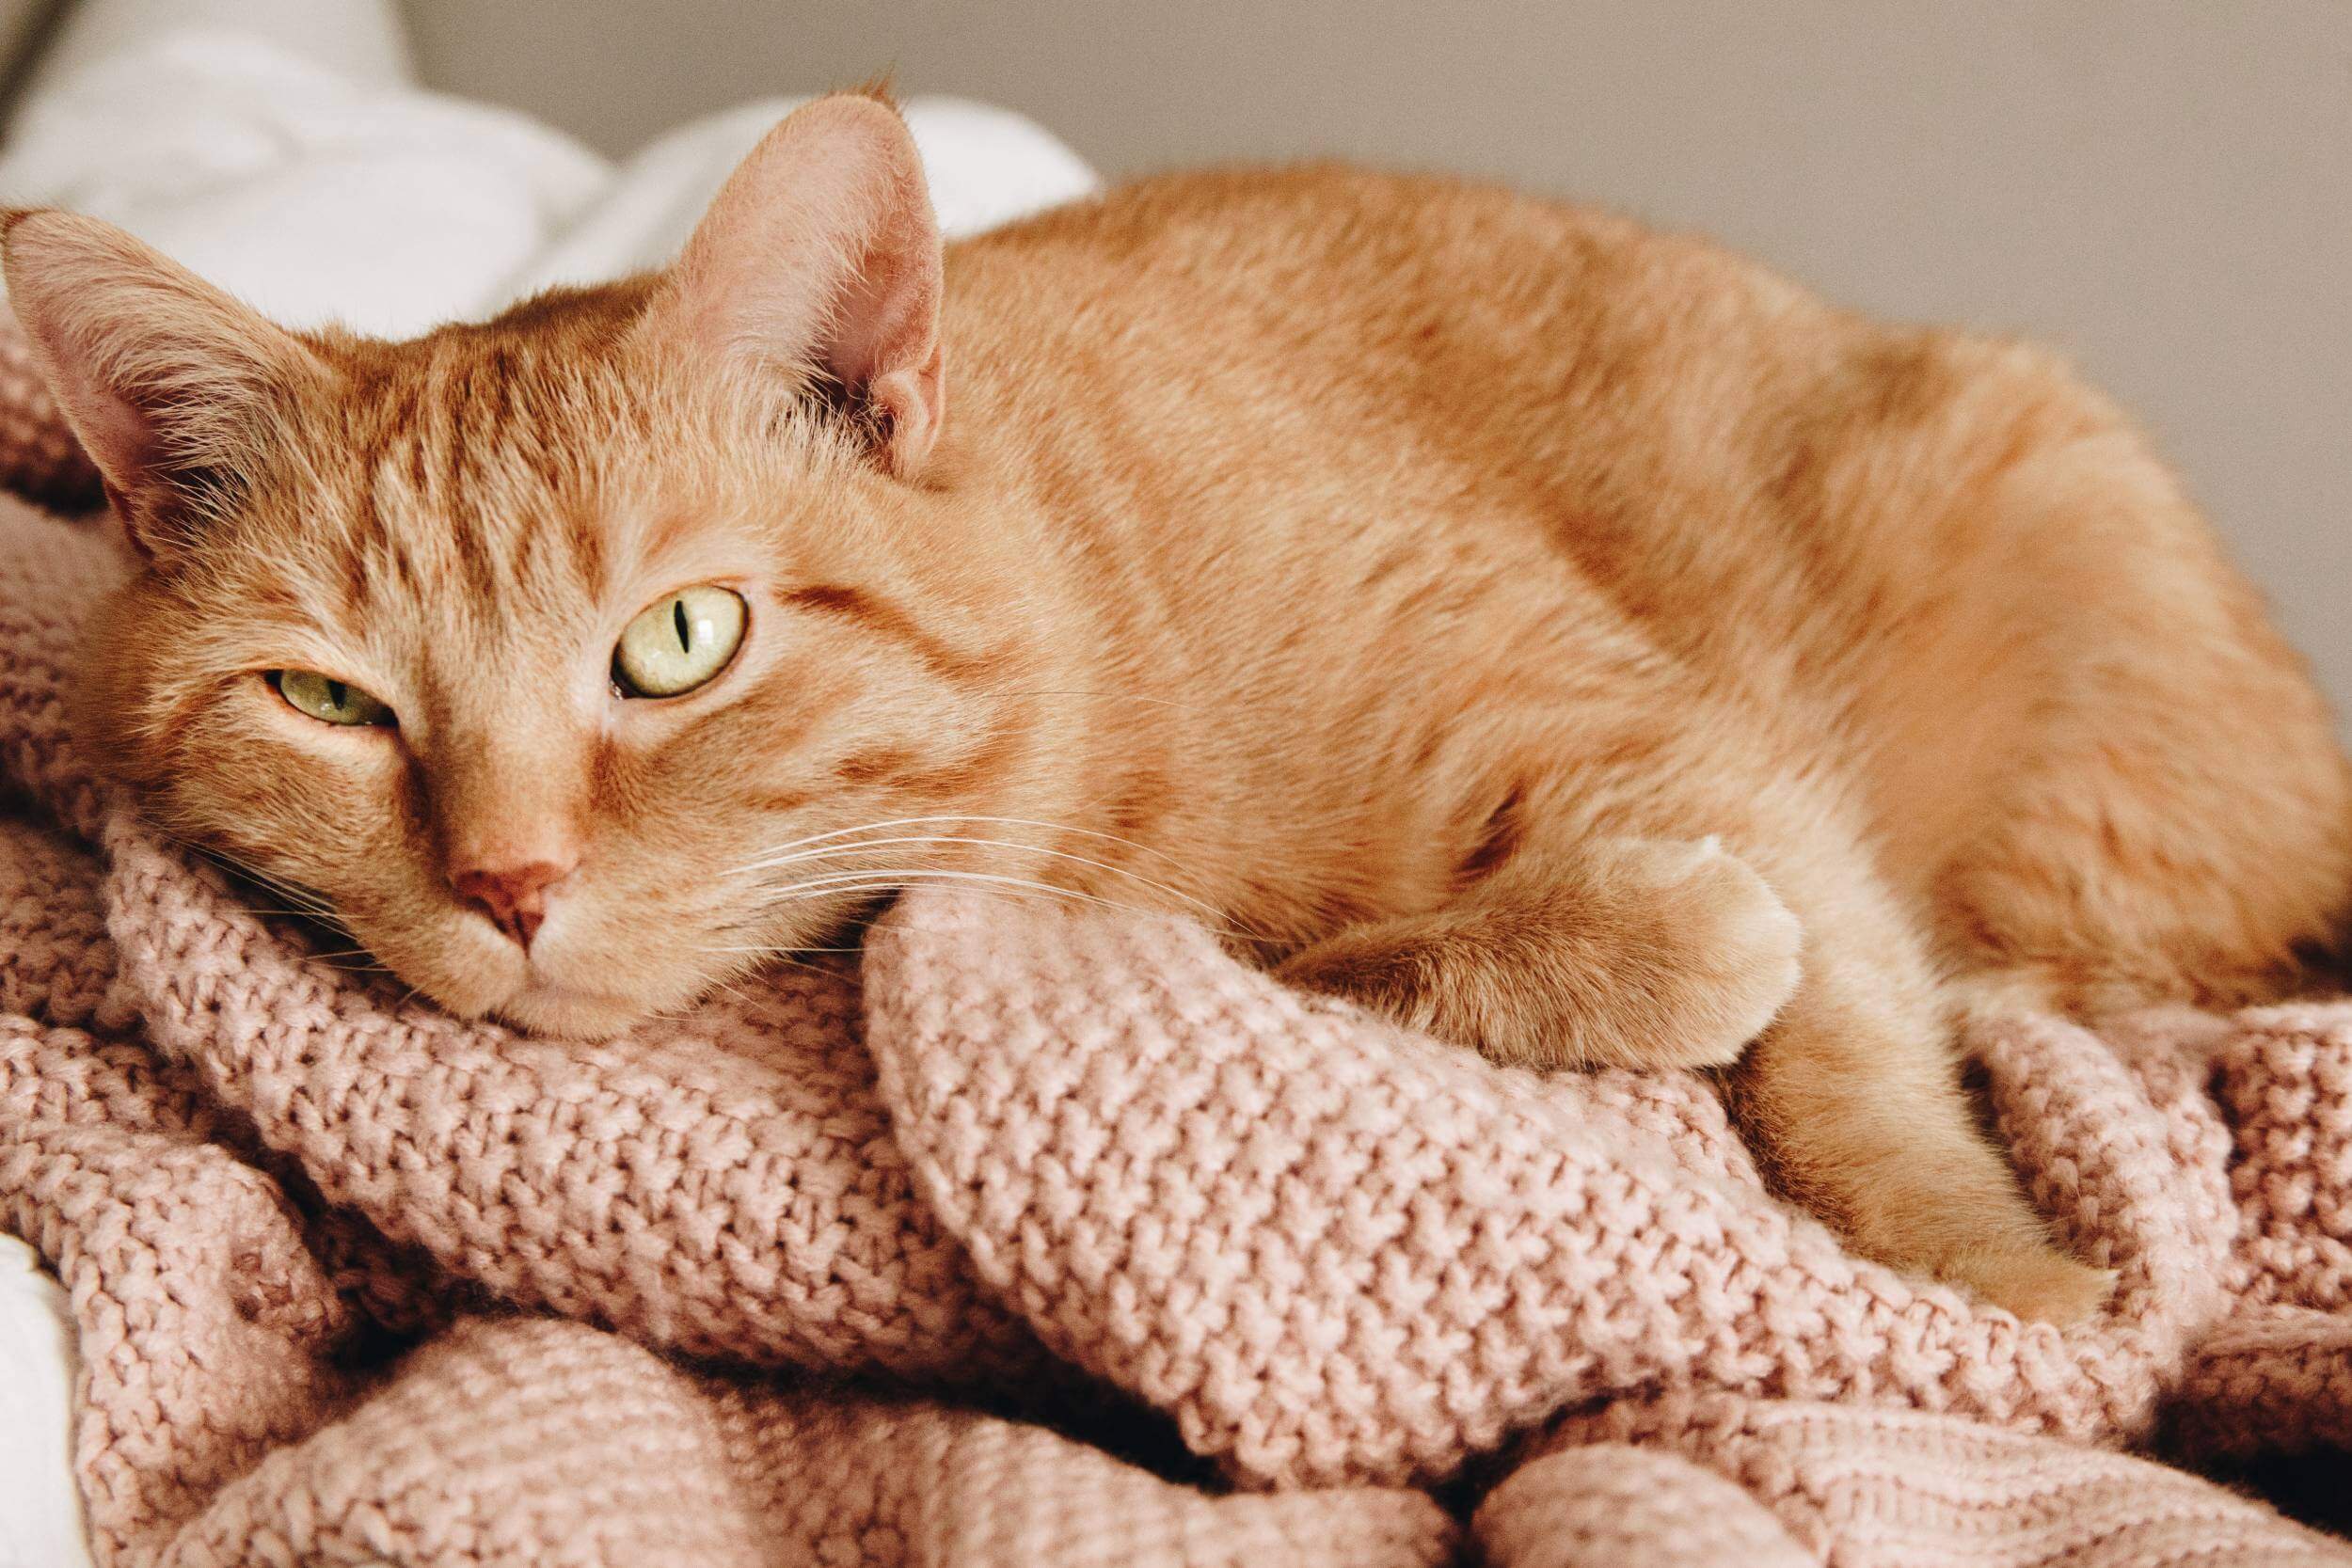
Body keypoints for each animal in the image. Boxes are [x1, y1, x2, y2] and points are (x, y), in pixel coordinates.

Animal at [8, 95, 2343, 1325]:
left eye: (677, 641)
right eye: (328, 697)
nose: (507, 879)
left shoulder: (1685, 742)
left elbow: (1852, 1047)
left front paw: (2005, 1274)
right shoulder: (1145, 942)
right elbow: (1345, 961)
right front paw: (1634, 945)